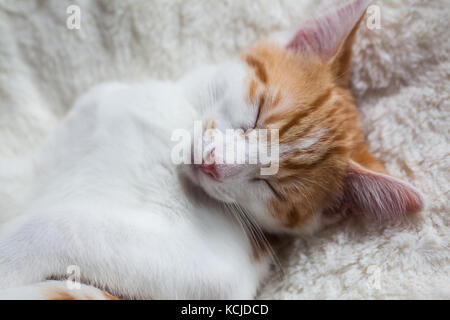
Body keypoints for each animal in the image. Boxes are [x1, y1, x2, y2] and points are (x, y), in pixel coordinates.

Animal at [0, 0, 422, 300]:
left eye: (271, 187)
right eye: (256, 113)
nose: (214, 164)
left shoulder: (214, 268)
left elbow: (70, 226)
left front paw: (10, 254)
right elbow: (22, 174)